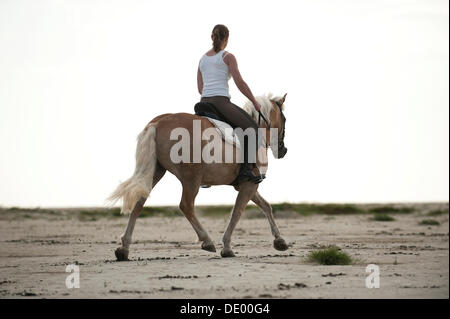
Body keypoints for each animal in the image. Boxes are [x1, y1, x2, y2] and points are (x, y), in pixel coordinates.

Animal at [109, 93, 288, 262]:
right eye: (284, 119)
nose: (283, 150)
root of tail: (159, 122)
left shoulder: (245, 185)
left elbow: (266, 206)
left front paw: (280, 241)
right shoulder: (250, 184)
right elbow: (238, 211)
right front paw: (227, 247)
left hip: (155, 172)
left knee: (139, 202)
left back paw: (124, 248)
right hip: (191, 179)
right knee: (186, 205)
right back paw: (207, 241)